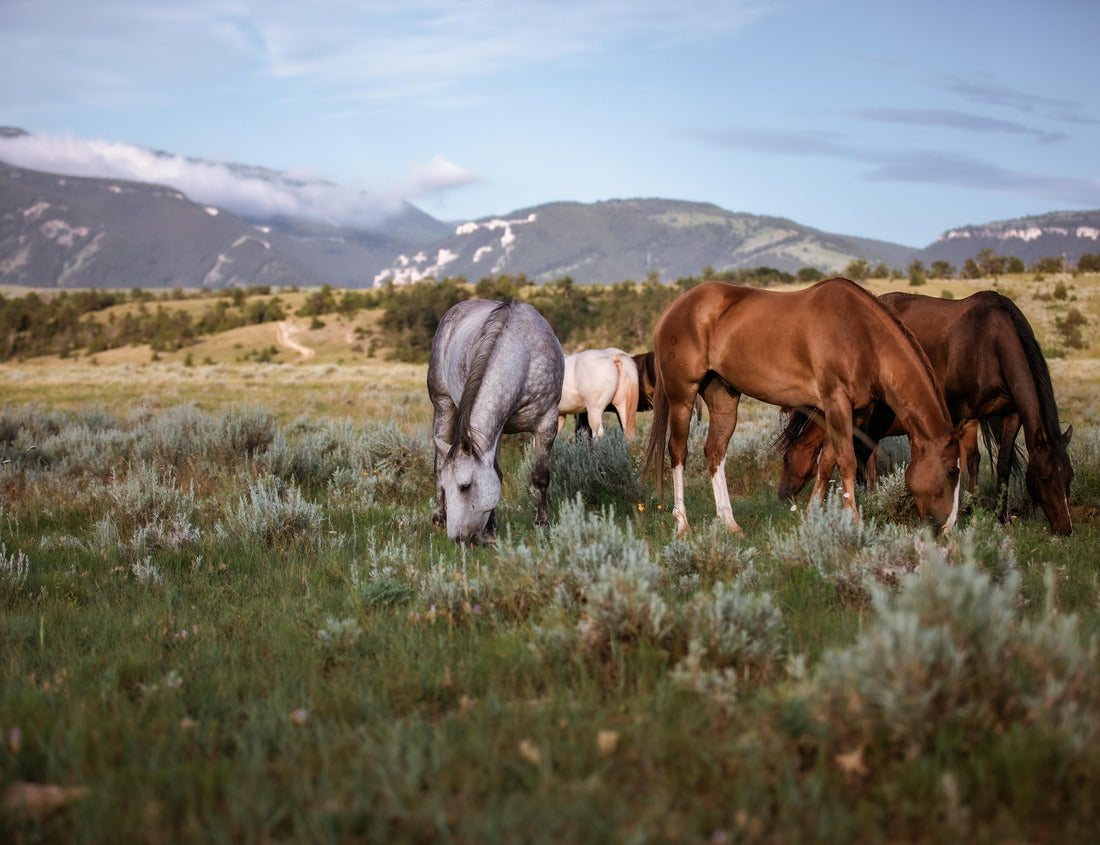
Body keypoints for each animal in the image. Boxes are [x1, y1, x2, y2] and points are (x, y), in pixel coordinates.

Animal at [428, 298, 565, 544]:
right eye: (448, 485)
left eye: (465, 486)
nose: (458, 539)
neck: (525, 357)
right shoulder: (495, 432)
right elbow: (497, 474)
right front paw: (492, 528)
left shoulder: (547, 422)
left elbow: (540, 475)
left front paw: (542, 523)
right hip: (442, 404)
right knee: (439, 461)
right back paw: (438, 516)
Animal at [642, 278, 962, 537]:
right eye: (951, 472)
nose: (948, 528)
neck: (860, 334)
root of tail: (674, 308)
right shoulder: (836, 402)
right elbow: (846, 462)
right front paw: (854, 523)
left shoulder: (851, 411)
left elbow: (827, 462)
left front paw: (812, 516)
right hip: (682, 396)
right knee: (678, 453)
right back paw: (683, 524)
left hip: (723, 396)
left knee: (715, 452)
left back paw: (729, 523)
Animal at [776, 290, 1073, 534]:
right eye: (1045, 478)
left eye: (1069, 476)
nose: (1065, 529)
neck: (989, 341)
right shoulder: (956, 413)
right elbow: (958, 461)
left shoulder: (1011, 413)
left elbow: (1002, 463)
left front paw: (1000, 516)